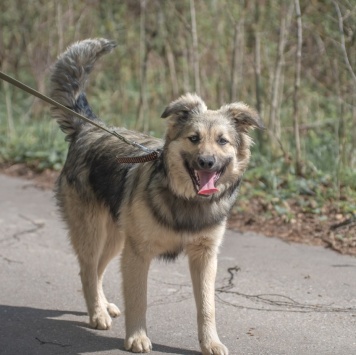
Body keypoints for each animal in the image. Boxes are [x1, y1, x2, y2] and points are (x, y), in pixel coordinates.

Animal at [49, 37, 262, 354]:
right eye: (194, 139)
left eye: (222, 141)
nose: (206, 162)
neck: (185, 200)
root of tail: (87, 127)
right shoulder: (138, 253)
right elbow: (139, 299)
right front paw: (137, 337)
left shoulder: (204, 257)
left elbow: (207, 306)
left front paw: (210, 342)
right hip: (94, 232)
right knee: (87, 270)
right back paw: (97, 312)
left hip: (115, 238)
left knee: (97, 269)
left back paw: (102, 305)